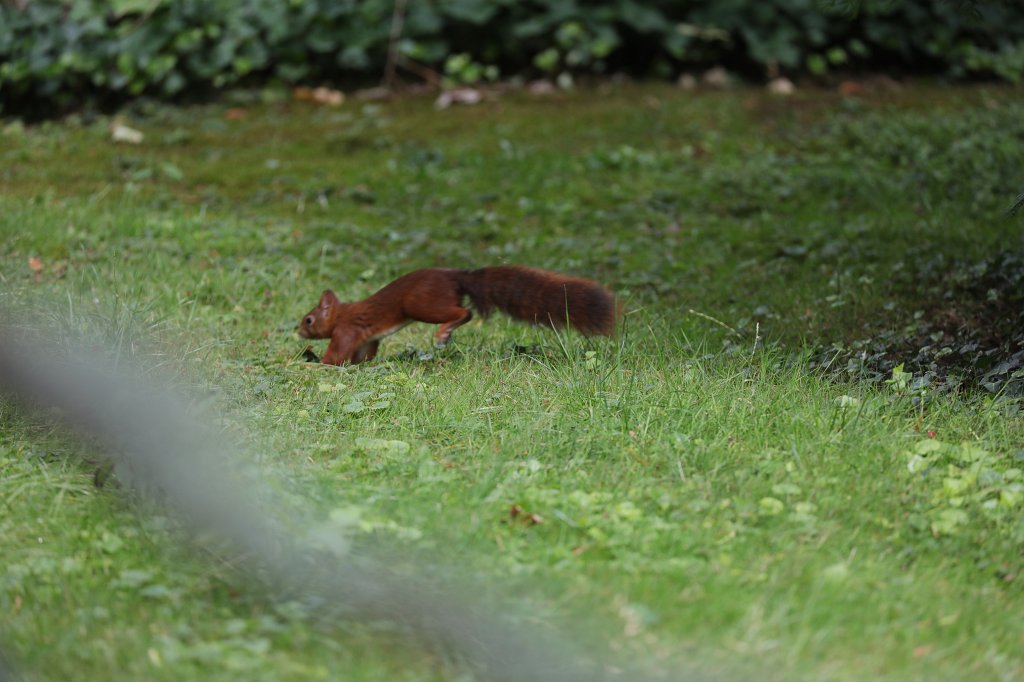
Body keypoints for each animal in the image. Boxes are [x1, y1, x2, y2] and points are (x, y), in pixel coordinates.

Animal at [297, 265, 618, 365]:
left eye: (309, 320)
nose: (298, 331)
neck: (340, 314)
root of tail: (455, 276)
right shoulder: (366, 338)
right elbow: (364, 355)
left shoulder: (346, 329)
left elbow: (335, 356)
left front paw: (315, 364)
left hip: (420, 304)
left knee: (465, 311)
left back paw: (444, 333)